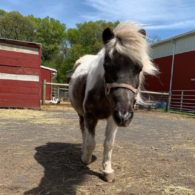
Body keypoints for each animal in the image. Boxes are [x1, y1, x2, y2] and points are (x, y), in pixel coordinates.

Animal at [69, 21, 158, 183]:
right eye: (107, 66)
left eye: (139, 68)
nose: (125, 116)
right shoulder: (90, 115)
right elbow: (91, 143)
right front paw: (85, 159)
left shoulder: (112, 117)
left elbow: (109, 144)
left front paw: (107, 170)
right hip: (81, 114)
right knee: (84, 132)